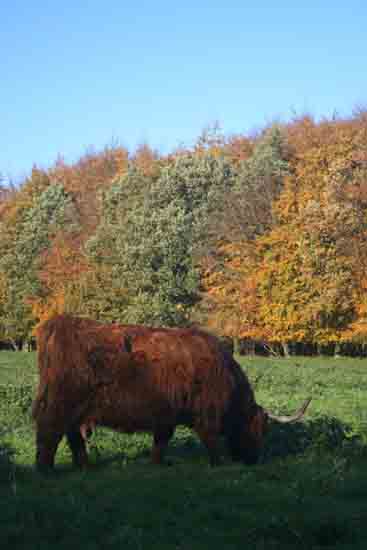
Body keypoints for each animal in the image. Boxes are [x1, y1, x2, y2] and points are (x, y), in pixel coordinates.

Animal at [33, 316, 312, 472]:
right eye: (259, 430)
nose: (253, 460)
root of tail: (63, 323)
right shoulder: (207, 413)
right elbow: (210, 439)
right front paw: (219, 463)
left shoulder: (165, 414)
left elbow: (162, 440)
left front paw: (156, 464)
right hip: (60, 403)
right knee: (50, 432)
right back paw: (45, 469)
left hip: (75, 410)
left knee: (72, 436)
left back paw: (84, 467)